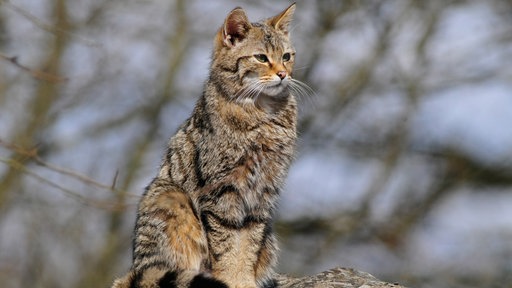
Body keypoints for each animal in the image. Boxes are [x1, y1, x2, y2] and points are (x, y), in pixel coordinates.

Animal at [111, 2, 306, 288]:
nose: (283, 74)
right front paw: (230, 278)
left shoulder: (263, 192)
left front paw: (244, 279)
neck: (263, 113)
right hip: (169, 197)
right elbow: (227, 243)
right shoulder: (221, 190)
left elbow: (249, 243)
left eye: (287, 56)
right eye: (261, 58)